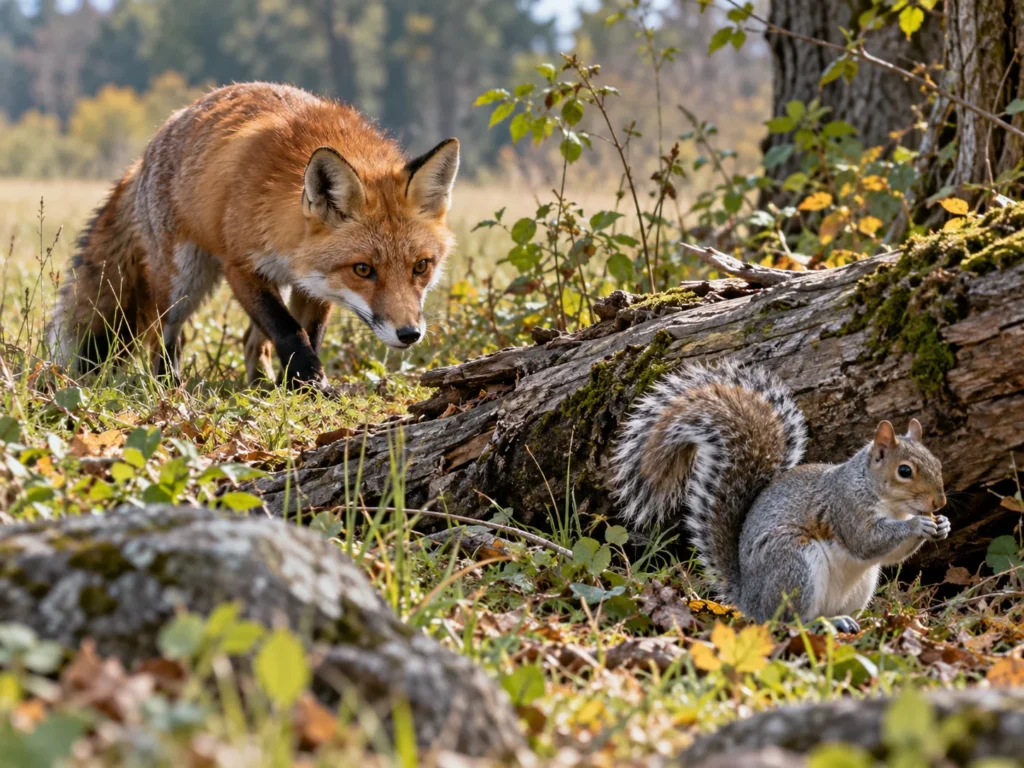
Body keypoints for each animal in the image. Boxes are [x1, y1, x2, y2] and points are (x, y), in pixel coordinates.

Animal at [49, 82, 460, 391]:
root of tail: (149, 147)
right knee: (164, 337)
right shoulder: (241, 267)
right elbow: (290, 332)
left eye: (421, 266)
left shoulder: (315, 282)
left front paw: (299, 388)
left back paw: (260, 384)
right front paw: (310, 383)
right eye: (363, 270)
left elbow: (310, 333)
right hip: (183, 281)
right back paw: (169, 385)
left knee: (250, 343)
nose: (409, 334)